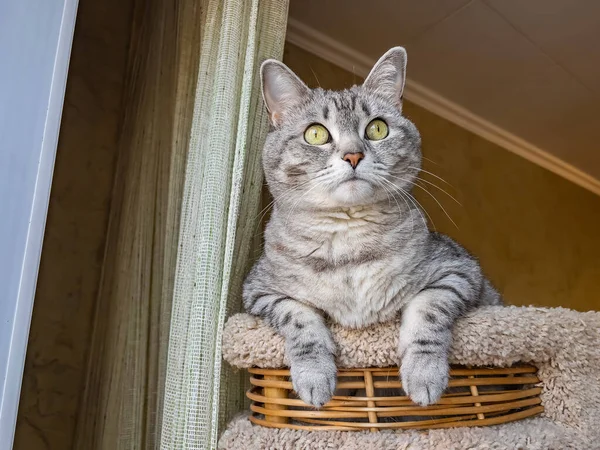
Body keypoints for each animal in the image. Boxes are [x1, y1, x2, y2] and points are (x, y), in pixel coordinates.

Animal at [243, 45, 502, 408]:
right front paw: (314, 378)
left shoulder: (458, 271)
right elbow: (301, 321)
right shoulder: (261, 291)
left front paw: (423, 375)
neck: (350, 243)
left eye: (378, 129)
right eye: (316, 133)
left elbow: (427, 310)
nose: (353, 155)